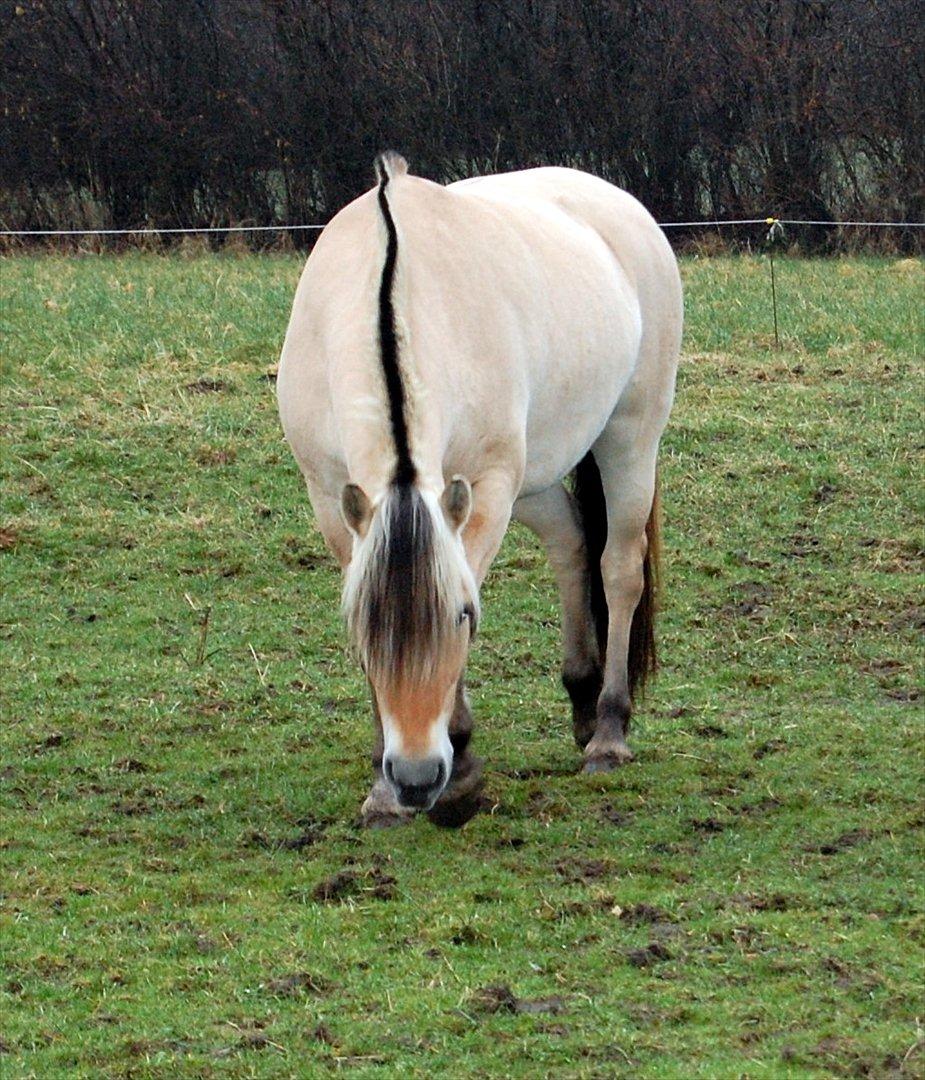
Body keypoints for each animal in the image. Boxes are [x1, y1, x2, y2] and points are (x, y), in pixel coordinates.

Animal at [274, 152, 678, 825]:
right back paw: (581, 696)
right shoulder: (330, 496)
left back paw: (608, 730)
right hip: (535, 479)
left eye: (463, 617)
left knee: (619, 569)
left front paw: (460, 772)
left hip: (629, 437)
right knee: (571, 542)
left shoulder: (486, 487)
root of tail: (621, 206)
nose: (416, 778)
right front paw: (384, 790)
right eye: (363, 624)